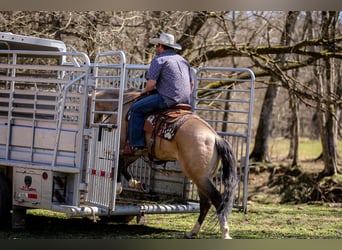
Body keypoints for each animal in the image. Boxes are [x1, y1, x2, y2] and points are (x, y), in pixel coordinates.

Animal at [87, 89, 239, 239]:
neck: (121, 107)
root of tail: (216, 137)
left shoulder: (124, 146)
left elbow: (119, 164)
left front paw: (119, 188)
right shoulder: (134, 151)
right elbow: (123, 166)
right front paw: (137, 184)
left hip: (199, 177)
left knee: (216, 199)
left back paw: (225, 233)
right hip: (202, 177)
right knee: (205, 202)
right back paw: (192, 232)